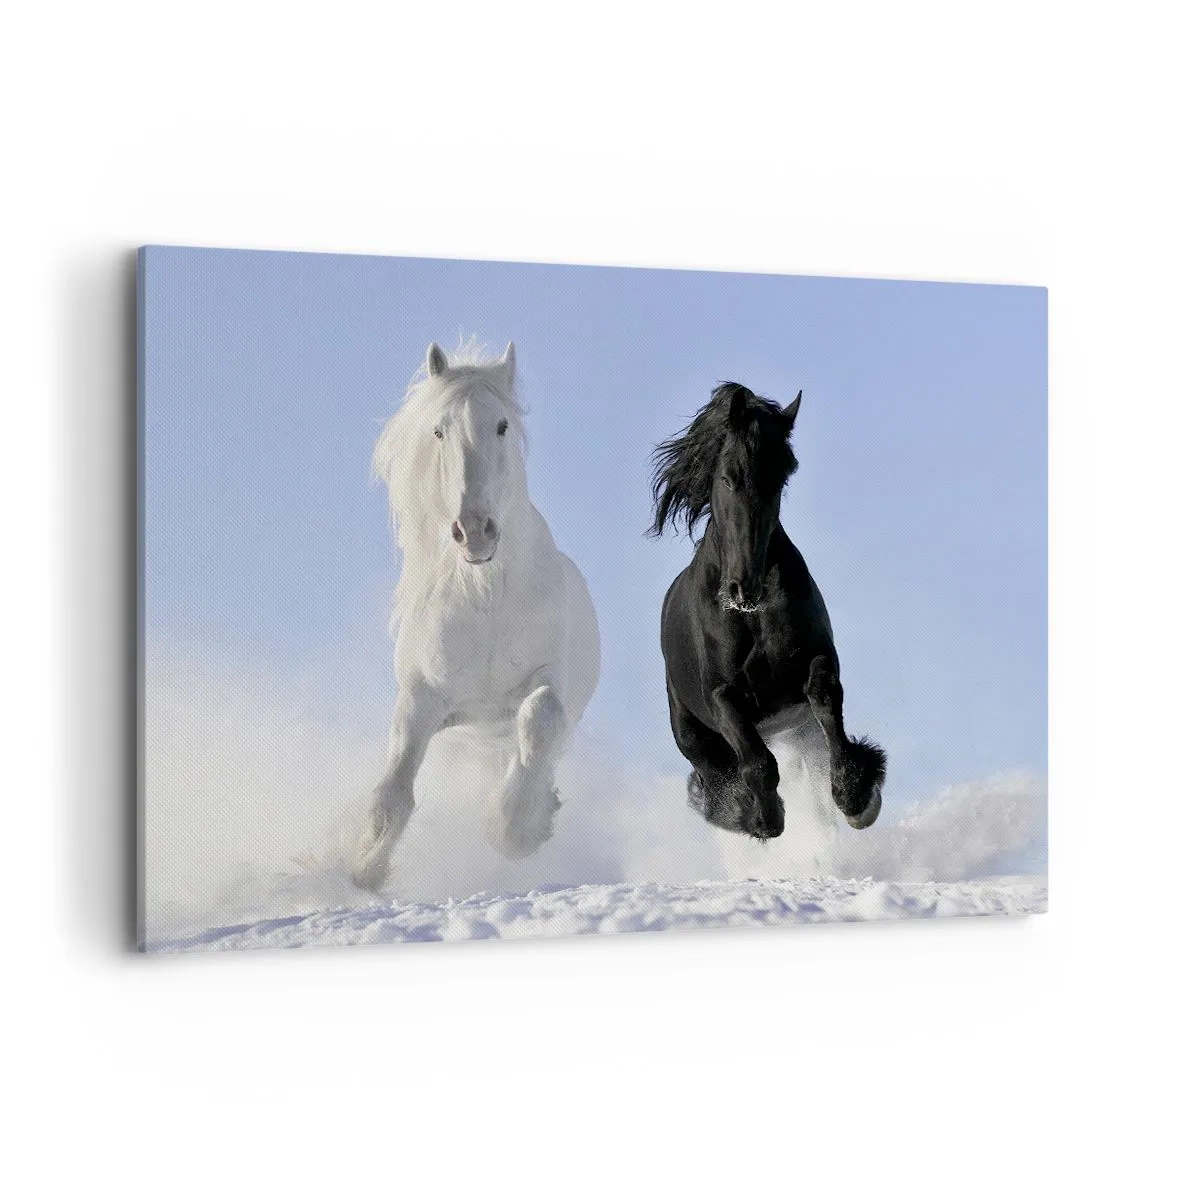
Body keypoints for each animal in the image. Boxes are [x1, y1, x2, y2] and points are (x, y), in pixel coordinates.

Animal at [351, 339, 601, 890]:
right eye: (439, 430)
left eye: (502, 425)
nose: (474, 531)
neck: (486, 599)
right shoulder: (422, 699)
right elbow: (392, 793)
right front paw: (360, 871)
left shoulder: (548, 681)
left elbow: (540, 717)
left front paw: (516, 830)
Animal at [649, 381, 885, 841]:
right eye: (728, 477)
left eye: (780, 478)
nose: (745, 587)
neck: (751, 617)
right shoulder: (722, 696)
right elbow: (757, 763)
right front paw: (762, 817)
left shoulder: (817, 660)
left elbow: (826, 699)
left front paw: (857, 795)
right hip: (691, 732)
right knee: (714, 774)